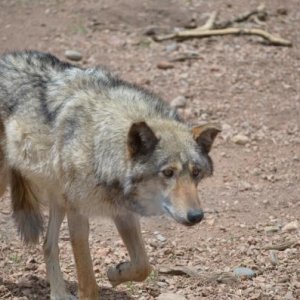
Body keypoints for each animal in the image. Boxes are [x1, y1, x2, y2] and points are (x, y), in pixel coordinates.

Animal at [0, 51, 220, 300]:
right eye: (168, 172)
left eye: (196, 173)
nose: (196, 216)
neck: (99, 144)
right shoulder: (78, 214)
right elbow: (88, 283)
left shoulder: (123, 212)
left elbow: (143, 266)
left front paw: (116, 273)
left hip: (59, 199)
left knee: (48, 245)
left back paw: (59, 294)